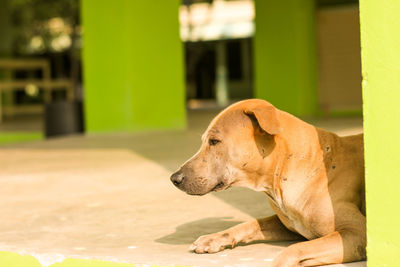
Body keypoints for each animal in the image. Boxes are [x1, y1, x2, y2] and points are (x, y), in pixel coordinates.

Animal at [170, 99, 364, 266]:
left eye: (214, 141)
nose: (174, 178)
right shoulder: (287, 226)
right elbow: (252, 223)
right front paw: (214, 238)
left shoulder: (356, 232)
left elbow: (295, 249)